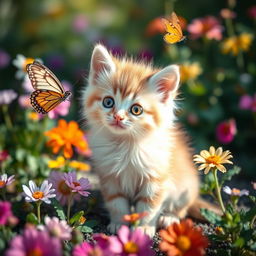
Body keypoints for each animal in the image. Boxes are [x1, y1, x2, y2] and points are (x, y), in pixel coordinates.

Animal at [82, 44, 214, 238]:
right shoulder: (110, 177)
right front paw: (119, 224)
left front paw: (143, 228)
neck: (126, 143)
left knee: (182, 208)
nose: (118, 117)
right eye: (108, 102)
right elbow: (117, 203)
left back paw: (169, 218)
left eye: (136, 109)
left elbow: (149, 207)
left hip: (185, 189)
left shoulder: (156, 179)